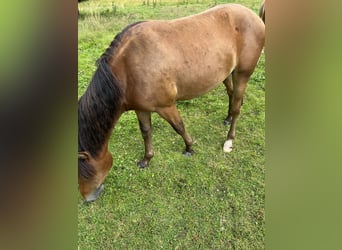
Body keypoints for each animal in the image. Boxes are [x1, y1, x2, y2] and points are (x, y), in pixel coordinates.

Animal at [79, 3, 266, 201]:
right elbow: (146, 132)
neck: (127, 68)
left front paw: (189, 148)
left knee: (237, 105)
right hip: (227, 73)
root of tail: (253, 16)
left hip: (243, 73)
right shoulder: (141, 108)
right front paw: (147, 159)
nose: (88, 198)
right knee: (231, 95)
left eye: (84, 171)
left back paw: (229, 140)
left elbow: (179, 127)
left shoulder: (166, 106)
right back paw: (228, 118)